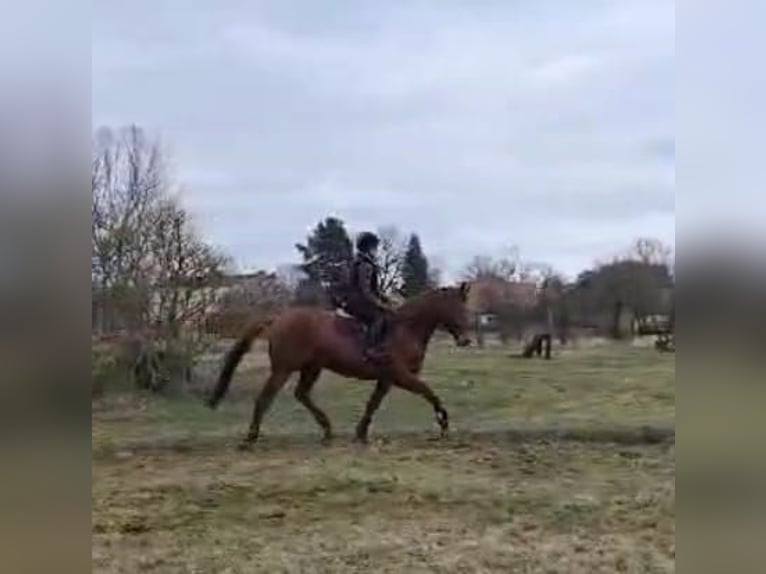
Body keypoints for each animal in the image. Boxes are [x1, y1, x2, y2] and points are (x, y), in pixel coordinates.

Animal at [207, 284, 476, 450]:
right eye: (456, 308)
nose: (465, 340)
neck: (405, 329)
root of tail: (278, 318)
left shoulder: (387, 378)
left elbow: (373, 404)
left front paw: (361, 433)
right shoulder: (401, 375)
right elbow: (428, 392)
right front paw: (443, 423)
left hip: (312, 368)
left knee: (301, 394)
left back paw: (327, 430)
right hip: (283, 369)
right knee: (265, 399)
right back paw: (250, 438)